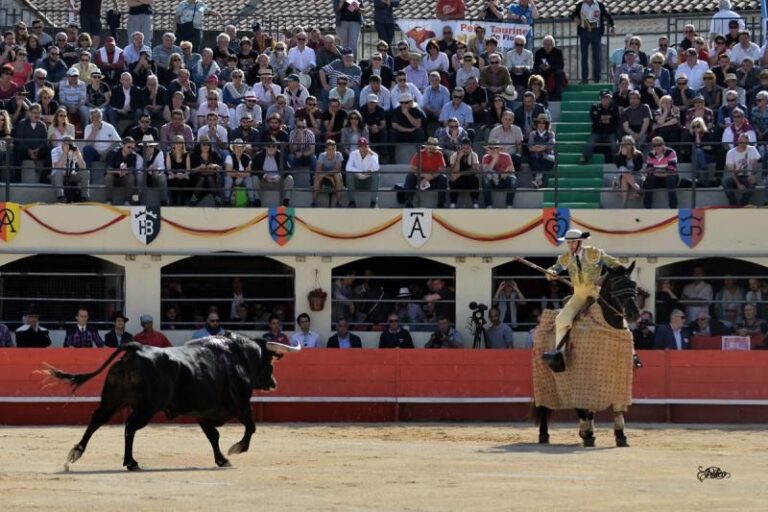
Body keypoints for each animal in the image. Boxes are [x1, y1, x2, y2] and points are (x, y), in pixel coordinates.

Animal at [43, 332, 298, 472]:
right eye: (270, 362)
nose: (274, 383)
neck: (238, 356)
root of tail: (136, 349)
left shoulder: (202, 412)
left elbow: (213, 436)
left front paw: (222, 459)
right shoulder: (241, 403)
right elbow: (251, 426)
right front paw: (236, 449)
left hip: (112, 399)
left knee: (96, 420)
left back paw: (75, 452)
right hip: (146, 407)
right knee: (129, 427)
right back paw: (131, 462)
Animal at [532, 262, 640, 446]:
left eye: (633, 284)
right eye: (616, 285)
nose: (634, 314)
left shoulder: (621, 375)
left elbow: (618, 408)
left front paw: (621, 436)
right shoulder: (583, 374)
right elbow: (585, 407)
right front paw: (589, 434)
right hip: (544, 377)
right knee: (546, 405)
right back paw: (545, 435)